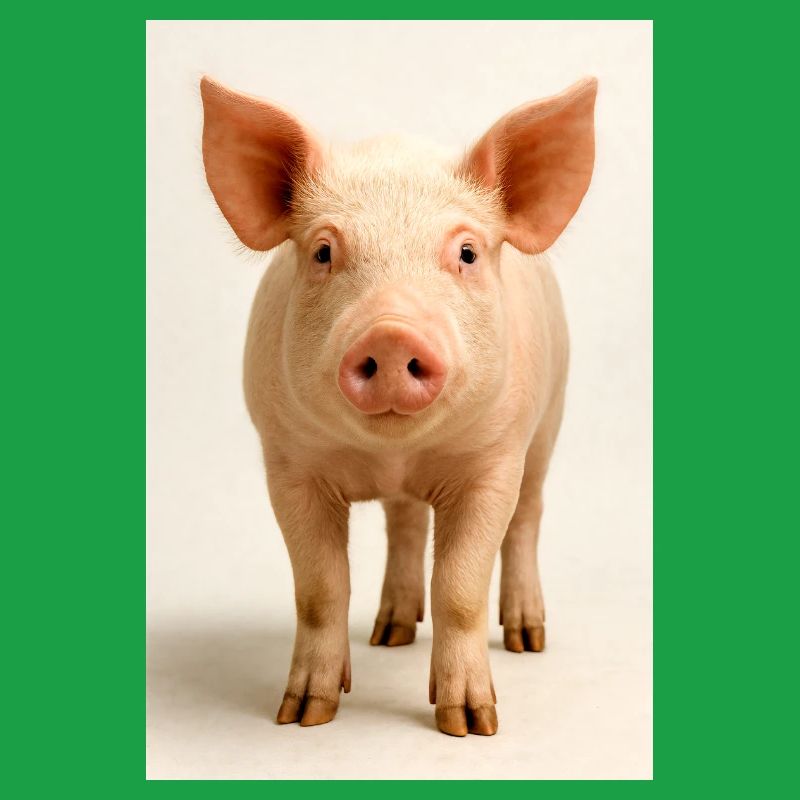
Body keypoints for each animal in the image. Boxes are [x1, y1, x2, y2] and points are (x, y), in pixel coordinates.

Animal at [200, 74, 597, 737]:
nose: (390, 333)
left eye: (466, 253)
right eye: (323, 252)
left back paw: (526, 639)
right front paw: (303, 716)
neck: (395, 454)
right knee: (406, 523)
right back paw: (389, 634)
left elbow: (460, 587)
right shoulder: (287, 463)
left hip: (551, 419)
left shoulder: (494, 461)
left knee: (527, 518)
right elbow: (319, 589)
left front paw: (472, 725)